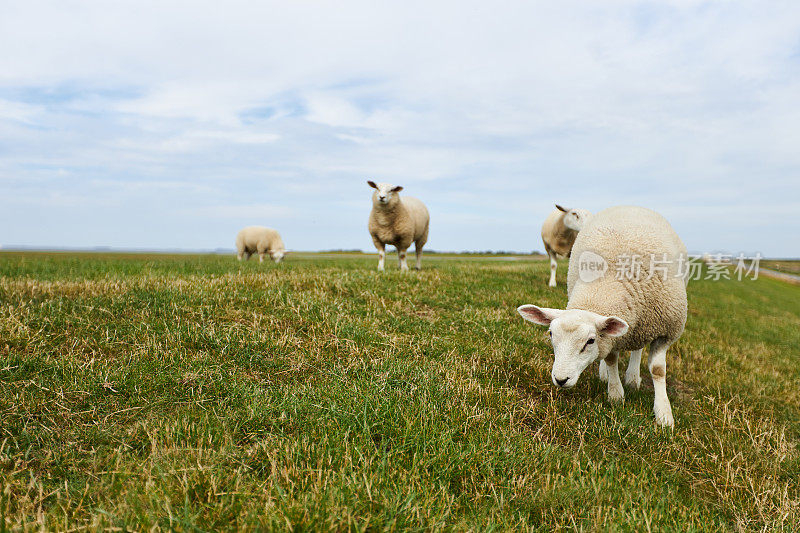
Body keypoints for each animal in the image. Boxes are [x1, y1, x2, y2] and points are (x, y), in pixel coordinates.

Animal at [520, 206, 688, 426]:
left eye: (590, 341)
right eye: (550, 335)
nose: (561, 379)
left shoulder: (667, 331)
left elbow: (658, 370)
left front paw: (664, 414)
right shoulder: (610, 336)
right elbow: (610, 359)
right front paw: (616, 394)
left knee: (638, 349)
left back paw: (633, 377)